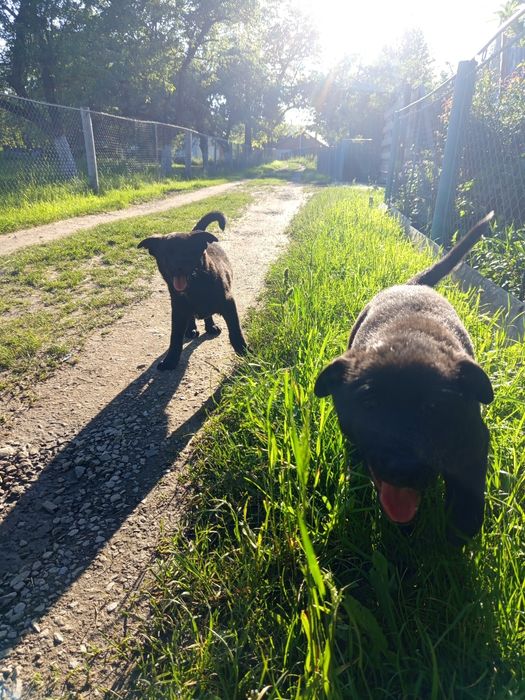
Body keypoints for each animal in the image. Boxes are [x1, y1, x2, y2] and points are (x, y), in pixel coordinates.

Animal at [138, 211, 247, 370]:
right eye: (166, 254)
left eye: (188, 252)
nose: (178, 266)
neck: (196, 286)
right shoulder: (178, 310)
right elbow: (175, 337)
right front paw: (170, 360)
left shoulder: (228, 304)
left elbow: (235, 331)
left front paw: (244, 351)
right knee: (191, 318)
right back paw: (191, 329)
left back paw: (210, 326)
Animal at [314, 212, 495, 543]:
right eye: (369, 404)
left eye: (435, 409)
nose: (403, 467)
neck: (407, 337)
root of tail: (413, 285)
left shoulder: (474, 438)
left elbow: (469, 488)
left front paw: (461, 529)